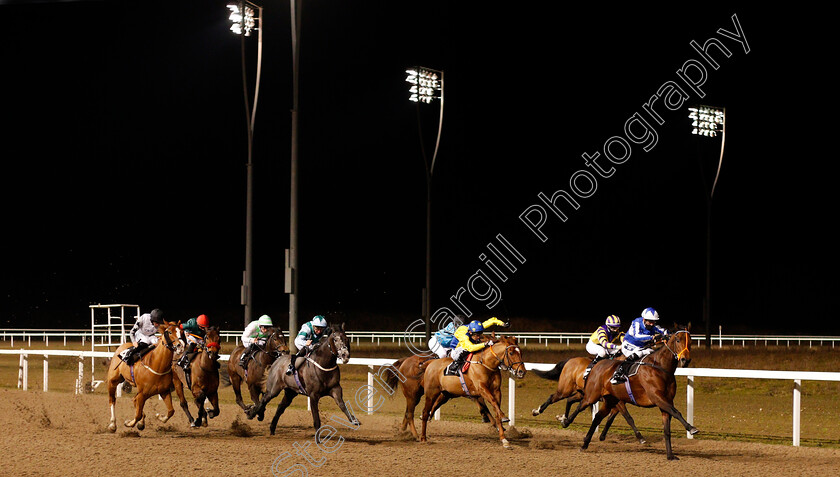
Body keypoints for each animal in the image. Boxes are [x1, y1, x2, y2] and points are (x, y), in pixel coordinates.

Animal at [564, 322, 696, 460]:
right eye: (678, 340)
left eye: (691, 341)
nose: (685, 360)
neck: (660, 367)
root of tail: (597, 365)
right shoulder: (657, 397)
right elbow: (676, 412)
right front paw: (691, 428)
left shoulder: (666, 401)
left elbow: (667, 428)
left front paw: (670, 455)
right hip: (592, 395)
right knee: (580, 405)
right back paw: (566, 421)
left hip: (610, 400)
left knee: (597, 417)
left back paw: (584, 444)